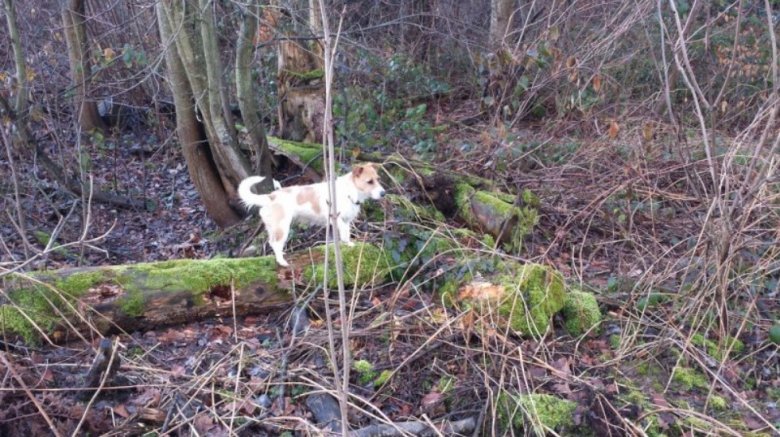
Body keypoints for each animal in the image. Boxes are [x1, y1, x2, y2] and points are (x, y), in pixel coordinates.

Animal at [236, 164, 386, 266]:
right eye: (369, 181)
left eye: (378, 179)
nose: (384, 193)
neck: (349, 191)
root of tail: (270, 197)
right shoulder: (337, 219)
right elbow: (344, 235)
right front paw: (347, 244)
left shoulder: (346, 221)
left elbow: (345, 234)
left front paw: (346, 243)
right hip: (282, 227)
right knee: (275, 243)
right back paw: (281, 261)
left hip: (274, 227)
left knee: (273, 242)